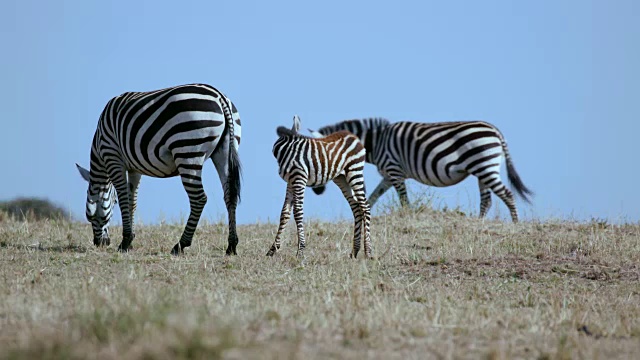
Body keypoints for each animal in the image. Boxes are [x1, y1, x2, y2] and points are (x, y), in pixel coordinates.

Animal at [74, 83, 242, 255]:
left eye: (90, 217)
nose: (99, 243)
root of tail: (219, 96)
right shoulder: (134, 168)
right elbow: (132, 200)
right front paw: (130, 240)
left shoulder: (113, 157)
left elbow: (123, 198)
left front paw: (125, 241)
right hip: (225, 150)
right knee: (230, 196)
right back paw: (231, 246)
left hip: (187, 151)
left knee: (199, 199)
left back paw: (180, 245)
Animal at [266, 115, 372, 258]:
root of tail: (352, 136)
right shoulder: (290, 181)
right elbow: (285, 213)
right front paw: (273, 249)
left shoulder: (298, 178)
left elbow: (297, 211)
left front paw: (300, 251)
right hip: (342, 178)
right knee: (356, 207)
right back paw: (354, 252)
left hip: (354, 172)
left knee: (365, 207)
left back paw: (368, 252)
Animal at [308, 119, 532, 222]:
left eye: (321, 158)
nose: (317, 191)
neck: (376, 142)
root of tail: (496, 131)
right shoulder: (387, 176)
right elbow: (372, 197)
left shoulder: (394, 170)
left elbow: (403, 199)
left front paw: (408, 216)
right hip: (482, 168)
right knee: (487, 199)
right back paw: (479, 223)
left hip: (485, 165)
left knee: (506, 194)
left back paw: (515, 224)